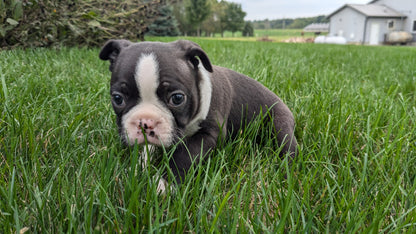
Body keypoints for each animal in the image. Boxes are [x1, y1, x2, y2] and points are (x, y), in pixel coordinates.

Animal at [99, 38, 298, 192]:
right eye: (117, 98)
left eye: (177, 98)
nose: (145, 122)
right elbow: (148, 150)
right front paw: (137, 169)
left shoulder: (210, 134)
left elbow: (185, 155)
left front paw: (164, 184)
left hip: (280, 123)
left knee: (287, 145)